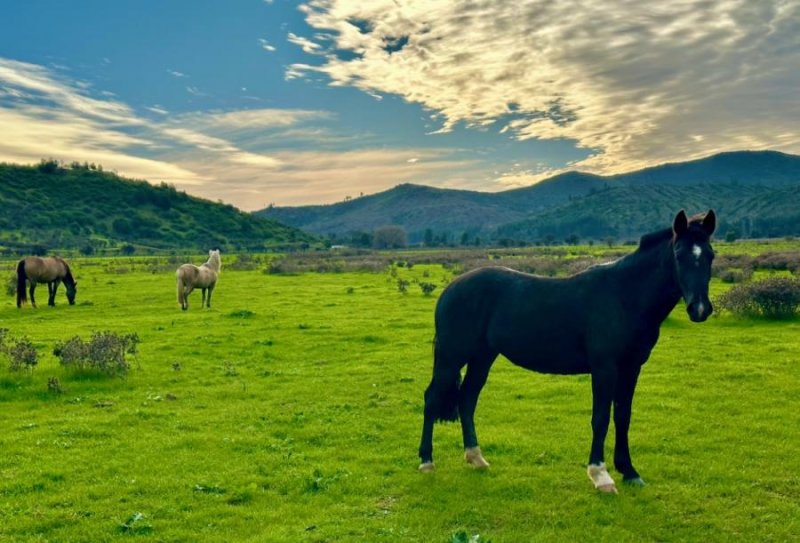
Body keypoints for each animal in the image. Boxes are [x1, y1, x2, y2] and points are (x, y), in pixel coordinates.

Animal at [418, 210, 720, 496]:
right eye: (679, 254)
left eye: (710, 255)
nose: (699, 309)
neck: (624, 296)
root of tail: (451, 288)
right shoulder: (604, 368)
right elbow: (601, 418)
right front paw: (601, 475)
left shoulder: (632, 367)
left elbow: (623, 416)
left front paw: (629, 471)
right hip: (451, 357)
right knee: (432, 398)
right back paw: (426, 462)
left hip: (482, 357)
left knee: (467, 399)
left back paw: (476, 457)